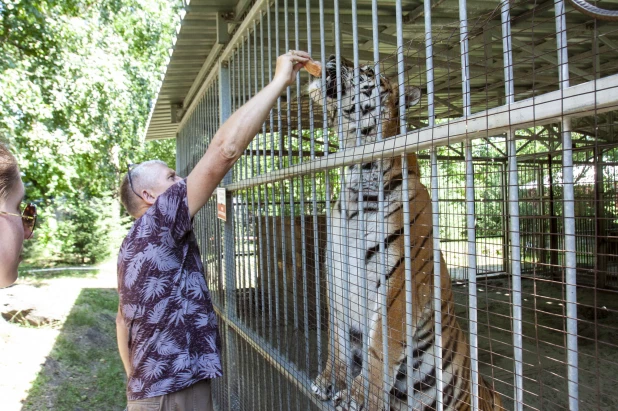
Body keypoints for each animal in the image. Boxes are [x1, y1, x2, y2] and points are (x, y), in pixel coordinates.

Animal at [304, 55, 500, 411]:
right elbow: (337, 336)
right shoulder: (337, 272)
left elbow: (381, 344)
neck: (357, 174)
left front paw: (359, 397)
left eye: (368, 71)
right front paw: (329, 380)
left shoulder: (400, 281)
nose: (333, 58)